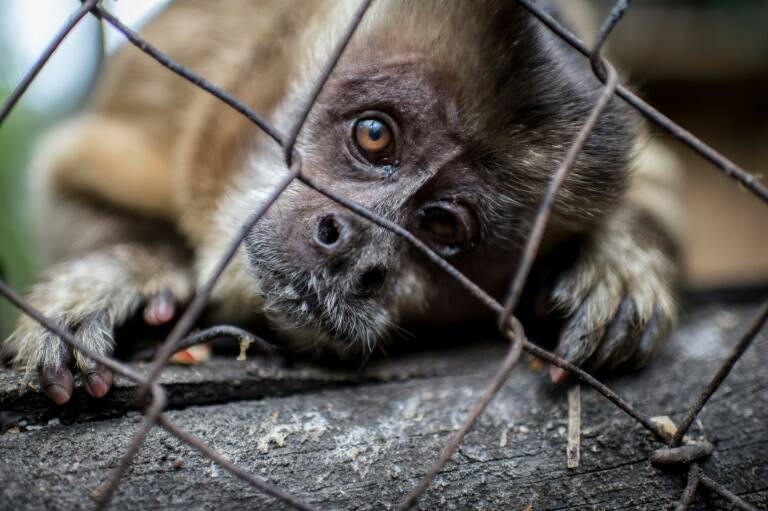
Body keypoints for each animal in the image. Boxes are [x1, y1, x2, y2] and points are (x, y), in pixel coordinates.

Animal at [4, 1, 680, 408]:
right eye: (374, 135)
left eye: (443, 226)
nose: (358, 251)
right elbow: (63, 180)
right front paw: (128, 270)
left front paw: (617, 262)